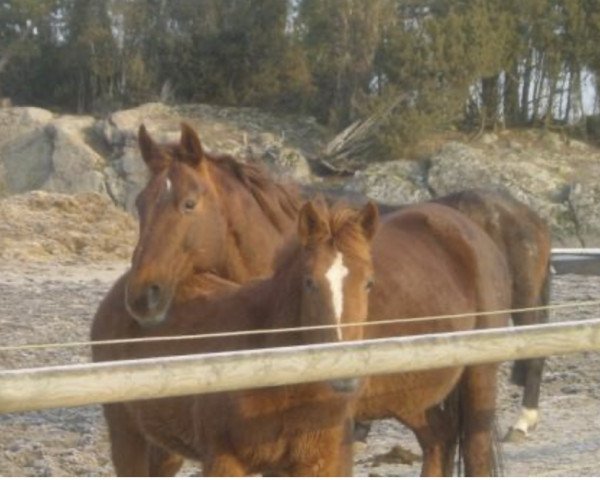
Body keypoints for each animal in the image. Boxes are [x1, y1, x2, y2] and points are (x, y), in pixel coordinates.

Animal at [91, 200, 378, 476]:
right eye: (309, 282)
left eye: (368, 283)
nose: (344, 376)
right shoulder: (224, 461)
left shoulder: (314, 464)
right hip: (127, 434)